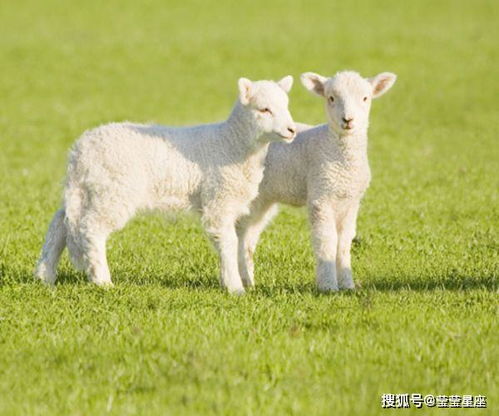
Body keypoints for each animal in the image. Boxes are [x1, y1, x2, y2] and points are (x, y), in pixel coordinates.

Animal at [38, 76, 300, 294]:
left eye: (286, 107)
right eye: (264, 109)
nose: (291, 130)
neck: (231, 143)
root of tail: (80, 150)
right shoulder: (219, 200)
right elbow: (228, 242)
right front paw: (235, 288)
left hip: (89, 190)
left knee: (60, 224)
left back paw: (44, 275)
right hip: (114, 191)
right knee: (91, 228)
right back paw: (102, 280)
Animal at [238, 70, 398, 290]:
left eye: (365, 98)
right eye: (331, 98)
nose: (348, 120)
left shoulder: (351, 202)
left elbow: (344, 243)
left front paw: (347, 284)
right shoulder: (321, 196)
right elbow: (327, 241)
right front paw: (328, 286)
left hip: (264, 198)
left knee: (248, 235)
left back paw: (249, 282)